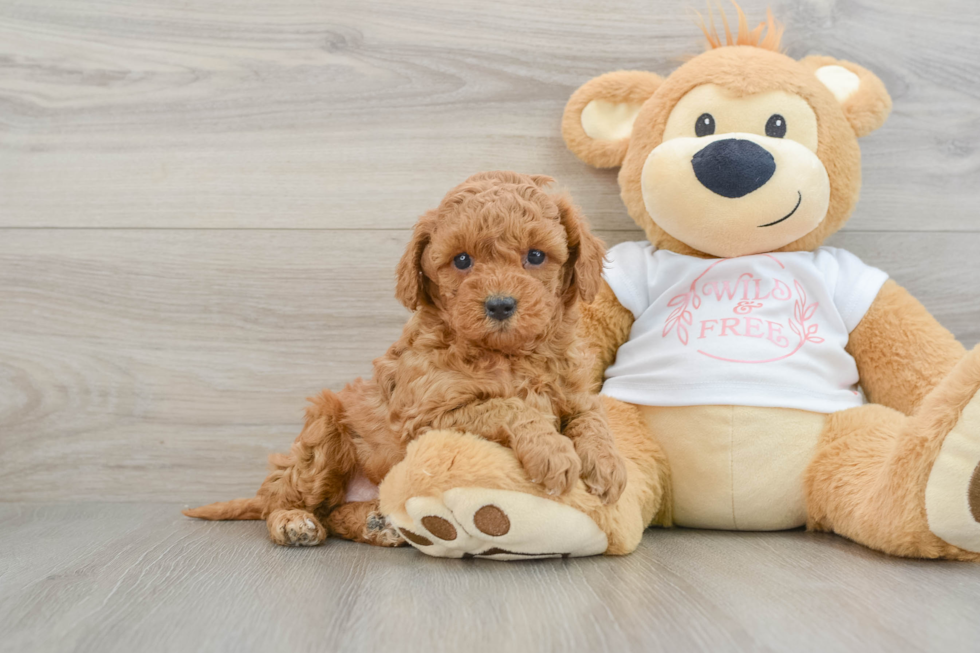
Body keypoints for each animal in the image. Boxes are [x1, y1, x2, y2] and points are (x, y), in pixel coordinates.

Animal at [184, 169, 628, 544]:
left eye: (535, 256)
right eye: (462, 260)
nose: (500, 305)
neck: (508, 355)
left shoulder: (575, 391)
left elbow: (592, 418)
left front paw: (607, 464)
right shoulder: (427, 417)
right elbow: (507, 406)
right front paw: (553, 452)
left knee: (333, 511)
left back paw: (377, 523)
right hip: (321, 433)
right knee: (284, 499)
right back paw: (294, 522)